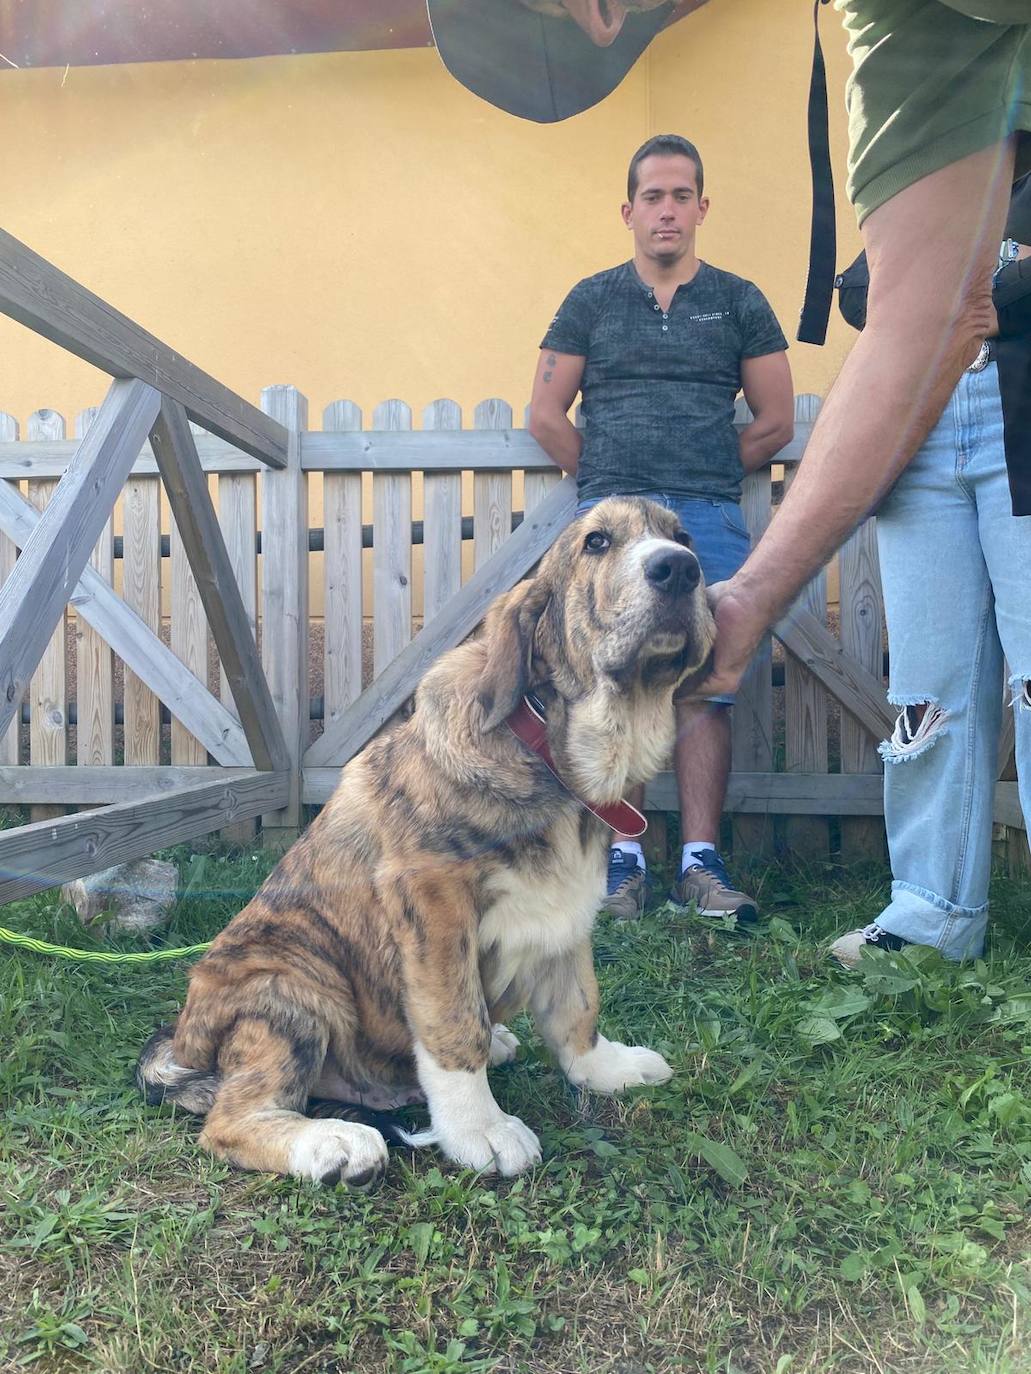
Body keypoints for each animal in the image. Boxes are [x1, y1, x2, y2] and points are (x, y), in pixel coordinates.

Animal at [137, 500, 714, 1187]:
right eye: (597, 542)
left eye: (682, 535)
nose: (680, 568)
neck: (550, 752)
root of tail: (182, 1039)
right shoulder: (434, 904)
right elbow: (453, 1021)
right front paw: (480, 1130)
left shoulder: (565, 910)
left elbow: (576, 1003)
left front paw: (604, 1068)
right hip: (291, 979)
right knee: (230, 1120)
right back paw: (331, 1143)